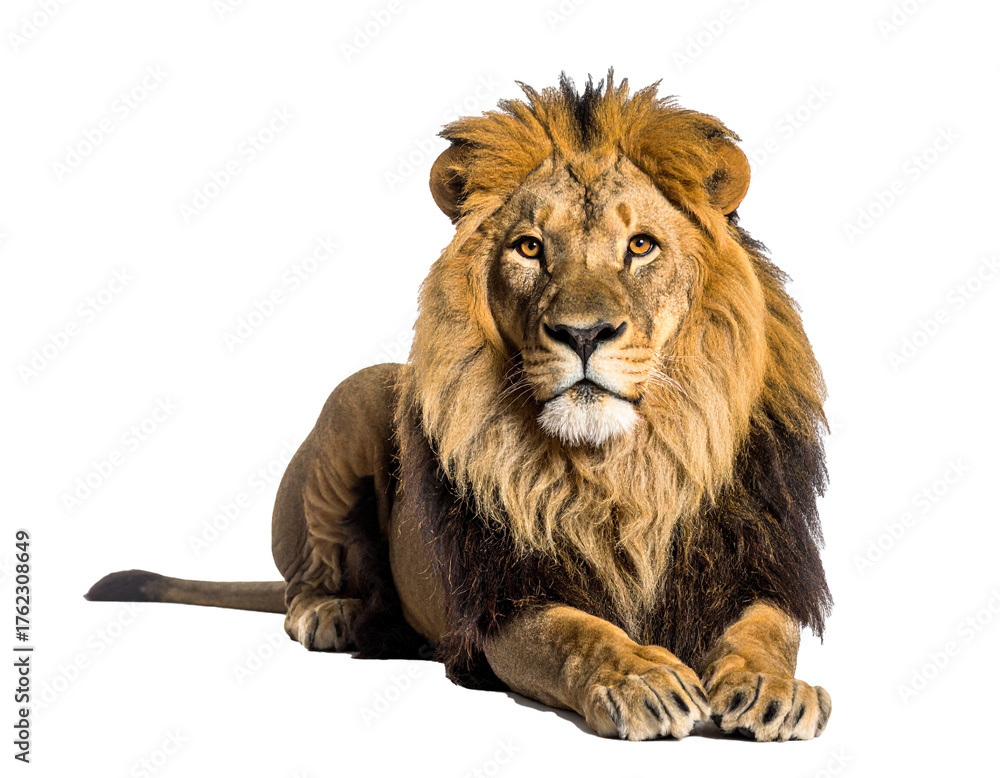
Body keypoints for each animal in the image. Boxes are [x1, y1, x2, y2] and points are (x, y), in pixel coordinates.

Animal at [86, 71, 832, 742]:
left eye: (641, 245)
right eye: (530, 248)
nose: (583, 333)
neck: (620, 466)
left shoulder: (757, 562)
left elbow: (769, 629)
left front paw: (773, 687)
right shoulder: (504, 599)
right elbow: (577, 633)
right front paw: (639, 677)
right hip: (354, 395)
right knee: (304, 575)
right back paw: (334, 613)